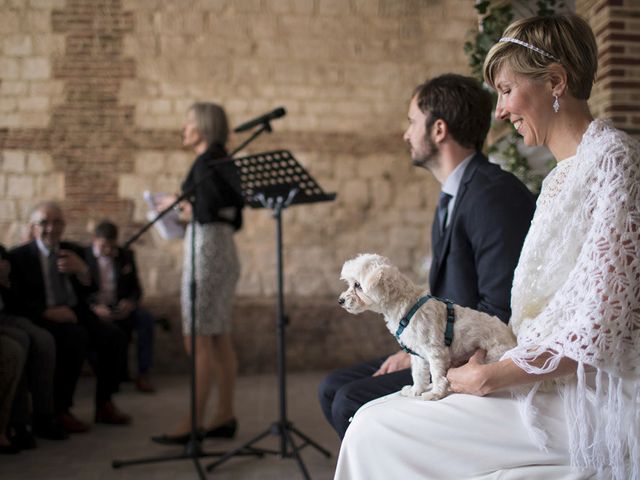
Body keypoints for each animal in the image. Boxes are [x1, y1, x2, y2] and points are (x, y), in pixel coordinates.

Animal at [340, 255, 516, 402]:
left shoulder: (435, 351)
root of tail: (513, 338)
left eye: (357, 285)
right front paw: (415, 391)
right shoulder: (418, 354)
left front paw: (436, 393)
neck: (406, 307)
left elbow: (437, 374)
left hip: (493, 356)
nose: (340, 300)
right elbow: (418, 374)